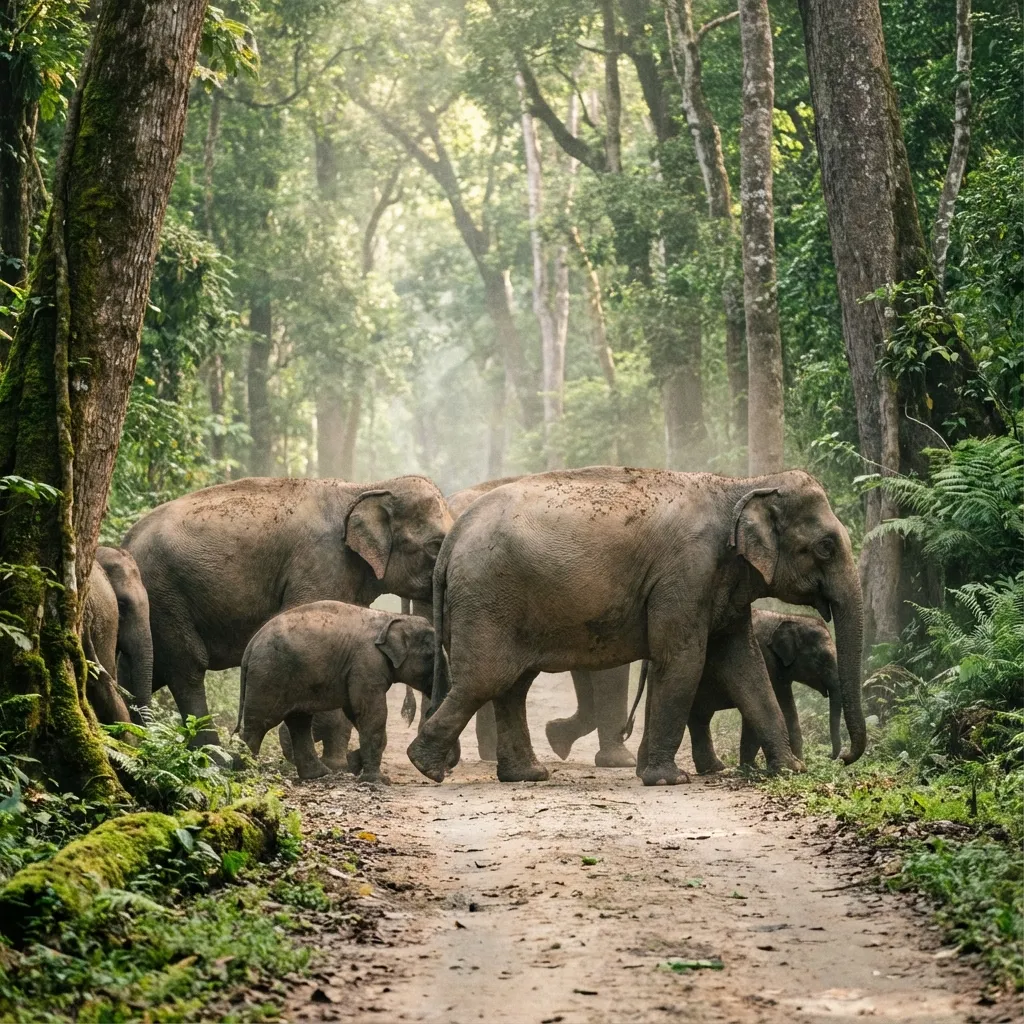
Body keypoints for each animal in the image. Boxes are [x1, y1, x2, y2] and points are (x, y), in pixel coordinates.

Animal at [124, 475, 451, 747]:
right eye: (436, 545)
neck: (365, 487)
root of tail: (126, 540)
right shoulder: (321, 562)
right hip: (163, 593)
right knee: (187, 666)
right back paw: (216, 755)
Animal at [236, 602, 434, 782]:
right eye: (431, 655)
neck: (391, 617)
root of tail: (250, 646)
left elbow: (355, 711)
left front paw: (354, 763)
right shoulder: (367, 663)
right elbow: (370, 713)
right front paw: (378, 781)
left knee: (299, 721)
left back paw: (319, 774)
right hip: (270, 674)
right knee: (261, 722)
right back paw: (245, 771)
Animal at [409, 466, 865, 786]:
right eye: (826, 547)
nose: (842, 758)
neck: (741, 485)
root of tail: (453, 536)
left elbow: (745, 667)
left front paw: (791, 770)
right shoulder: (685, 572)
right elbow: (682, 659)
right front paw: (668, 780)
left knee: (512, 685)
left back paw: (526, 775)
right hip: (488, 598)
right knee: (486, 679)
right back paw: (427, 767)